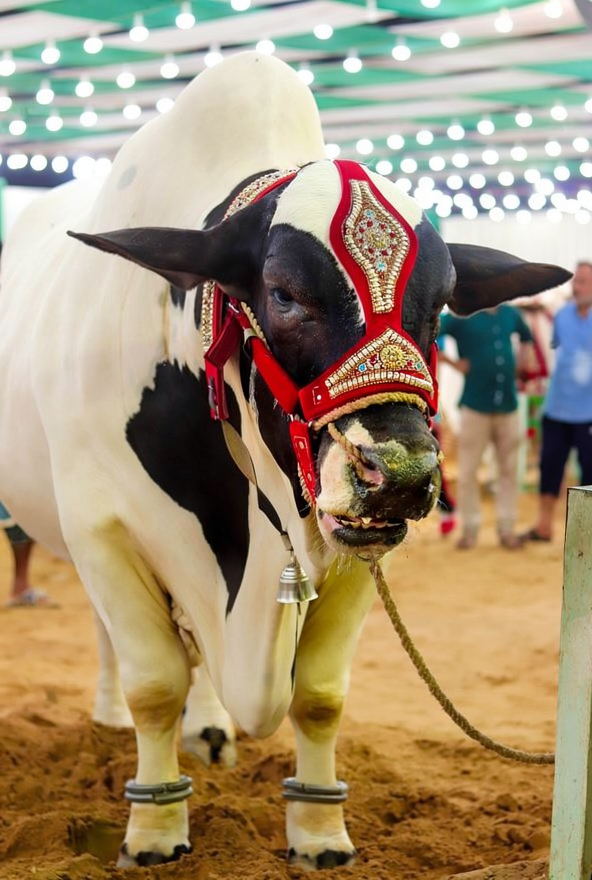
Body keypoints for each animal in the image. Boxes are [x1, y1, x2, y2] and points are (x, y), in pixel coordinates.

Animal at [0, 51, 569, 869]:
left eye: (441, 305)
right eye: (283, 293)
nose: (399, 473)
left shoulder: (359, 548)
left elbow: (320, 695)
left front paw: (319, 831)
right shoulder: (100, 528)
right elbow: (154, 681)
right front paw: (155, 828)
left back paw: (211, 729)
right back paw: (117, 717)